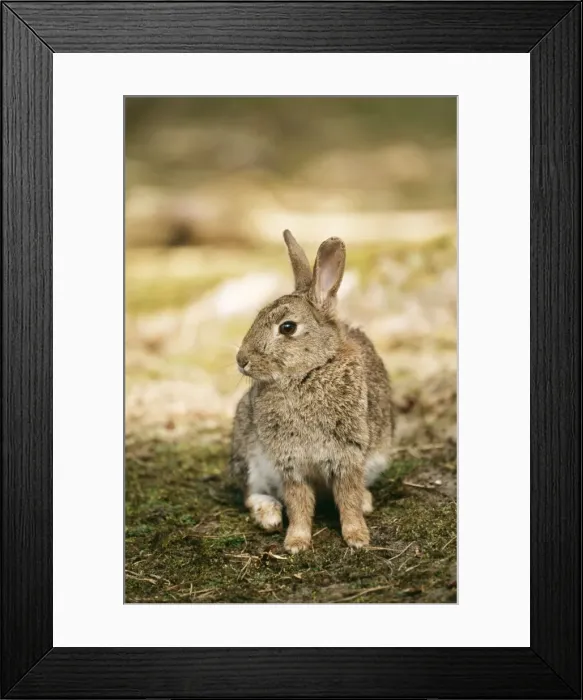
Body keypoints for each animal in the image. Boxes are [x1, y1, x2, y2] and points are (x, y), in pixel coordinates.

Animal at [229, 230, 394, 552]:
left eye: (287, 327)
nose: (241, 360)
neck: (308, 373)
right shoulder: (289, 461)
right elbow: (298, 503)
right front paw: (296, 542)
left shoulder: (347, 456)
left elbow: (348, 499)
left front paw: (357, 537)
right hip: (248, 453)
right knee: (251, 493)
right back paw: (269, 515)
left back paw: (367, 502)